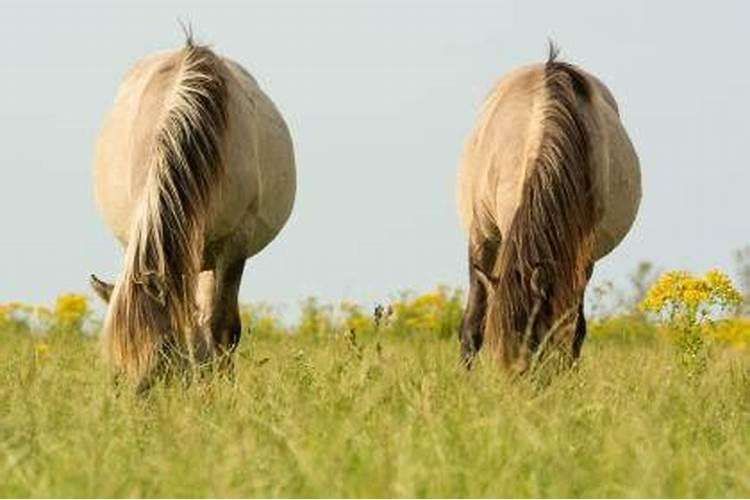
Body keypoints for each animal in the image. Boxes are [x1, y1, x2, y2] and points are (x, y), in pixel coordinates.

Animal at [89, 38, 296, 390]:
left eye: (162, 352)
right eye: (116, 369)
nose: (137, 401)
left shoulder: (235, 241)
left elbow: (223, 326)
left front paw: (218, 391)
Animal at [458, 46, 640, 376]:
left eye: (535, 345)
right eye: (497, 351)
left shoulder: (580, 255)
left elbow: (570, 329)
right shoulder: (482, 237)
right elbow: (472, 323)